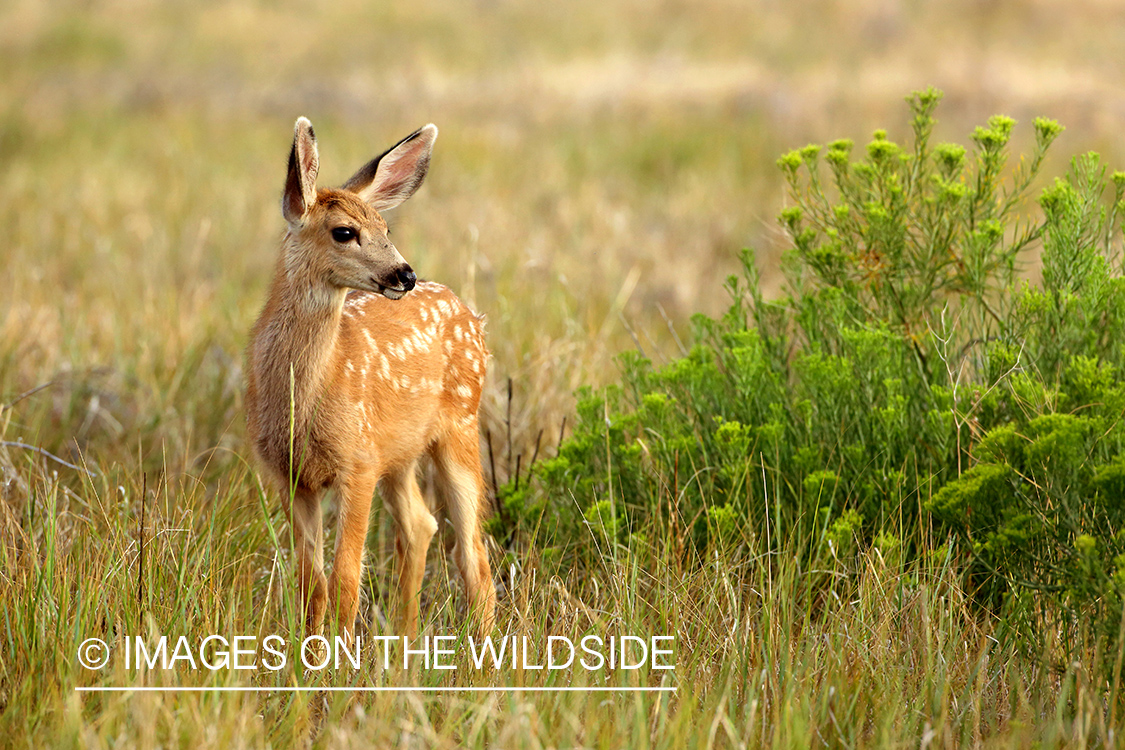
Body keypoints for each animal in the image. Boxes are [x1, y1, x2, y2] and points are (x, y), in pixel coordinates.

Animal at [250, 117, 497, 638]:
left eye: (387, 227)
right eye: (344, 232)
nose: (405, 274)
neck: (306, 400)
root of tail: (473, 316)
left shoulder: (357, 462)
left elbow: (346, 575)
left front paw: (341, 653)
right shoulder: (290, 475)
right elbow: (311, 581)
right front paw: (309, 651)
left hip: (461, 424)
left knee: (472, 552)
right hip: (399, 453)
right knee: (420, 525)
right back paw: (404, 639)